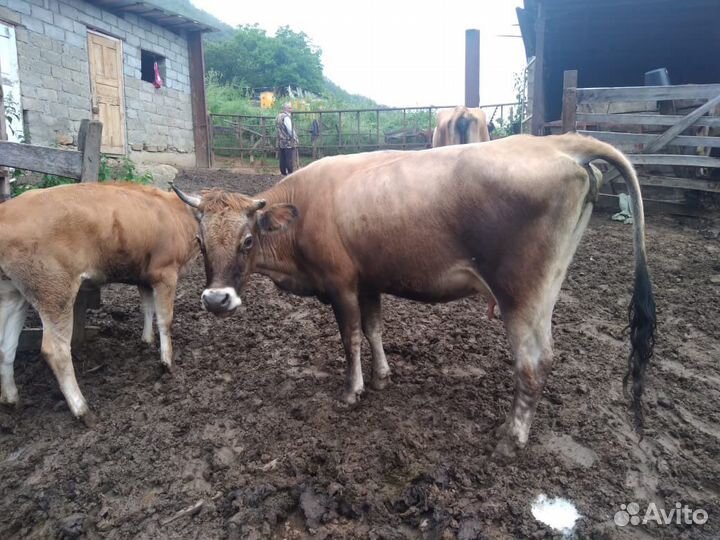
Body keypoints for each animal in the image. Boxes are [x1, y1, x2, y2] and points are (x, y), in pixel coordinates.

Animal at [0, 183, 199, 424]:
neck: (173, 212)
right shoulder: (165, 275)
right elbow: (165, 319)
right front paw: (167, 361)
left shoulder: (144, 277)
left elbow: (147, 308)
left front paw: (146, 341)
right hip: (55, 293)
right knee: (55, 351)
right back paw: (81, 409)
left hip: (13, 294)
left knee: (6, 347)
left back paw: (11, 399)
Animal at [172, 132, 656, 458]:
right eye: (199, 242)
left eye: (247, 240)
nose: (216, 300)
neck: (303, 209)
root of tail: (557, 142)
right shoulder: (368, 282)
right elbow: (373, 330)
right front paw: (383, 376)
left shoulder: (341, 283)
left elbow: (350, 339)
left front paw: (353, 391)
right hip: (543, 295)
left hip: (522, 296)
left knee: (533, 362)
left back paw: (510, 438)